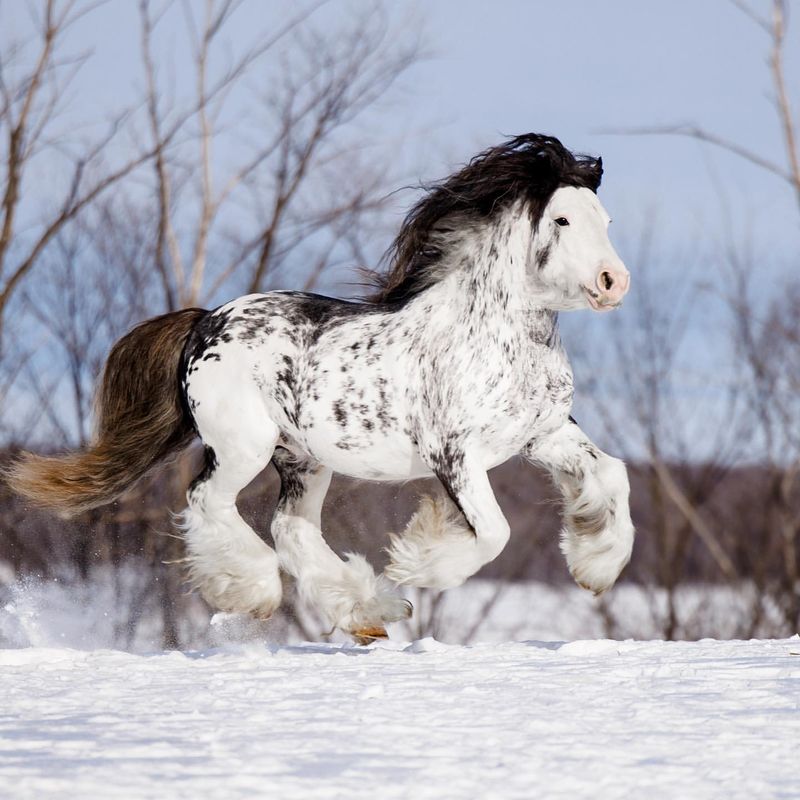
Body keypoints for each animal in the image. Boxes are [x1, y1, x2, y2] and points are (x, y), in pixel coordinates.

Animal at [4, 134, 632, 640]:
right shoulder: (455, 454)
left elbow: (612, 475)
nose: (614, 281)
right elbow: (495, 533)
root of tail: (206, 323)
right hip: (244, 446)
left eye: (605, 220)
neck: (494, 337)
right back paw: (260, 593)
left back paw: (369, 614)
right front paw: (416, 562)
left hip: (303, 459)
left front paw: (596, 567)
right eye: (562, 221)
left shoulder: (543, 435)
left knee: (290, 528)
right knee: (208, 500)